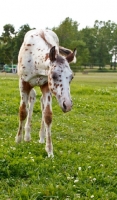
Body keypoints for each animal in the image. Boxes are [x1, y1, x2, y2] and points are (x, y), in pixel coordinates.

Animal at [15, 28, 76, 158]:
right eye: (53, 75)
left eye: (71, 77)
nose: (68, 105)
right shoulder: (23, 83)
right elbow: (23, 112)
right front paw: (18, 140)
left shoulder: (46, 86)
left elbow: (47, 115)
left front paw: (49, 150)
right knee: (32, 98)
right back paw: (27, 136)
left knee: (41, 103)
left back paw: (41, 137)